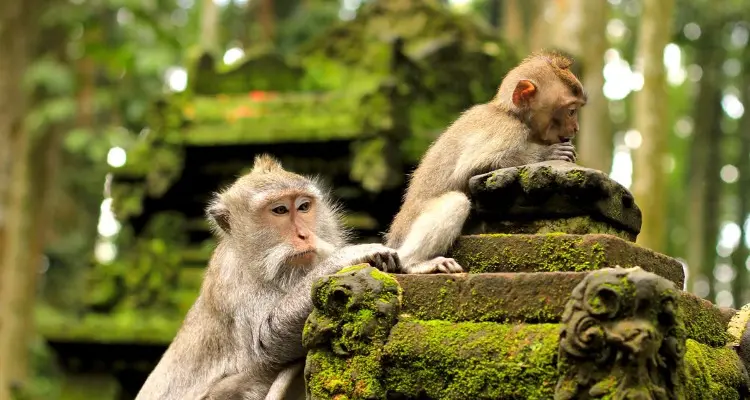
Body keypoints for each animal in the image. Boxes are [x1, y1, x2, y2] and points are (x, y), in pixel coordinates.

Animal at [135, 154, 401, 400]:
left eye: (303, 207)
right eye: (280, 210)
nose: (304, 235)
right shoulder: (235, 280)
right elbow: (266, 343)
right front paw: (346, 256)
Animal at [385, 51, 587, 274]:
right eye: (571, 111)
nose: (576, 128)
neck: (510, 113)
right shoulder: (507, 130)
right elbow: (471, 167)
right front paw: (548, 153)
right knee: (456, 201)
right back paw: (414, 263)